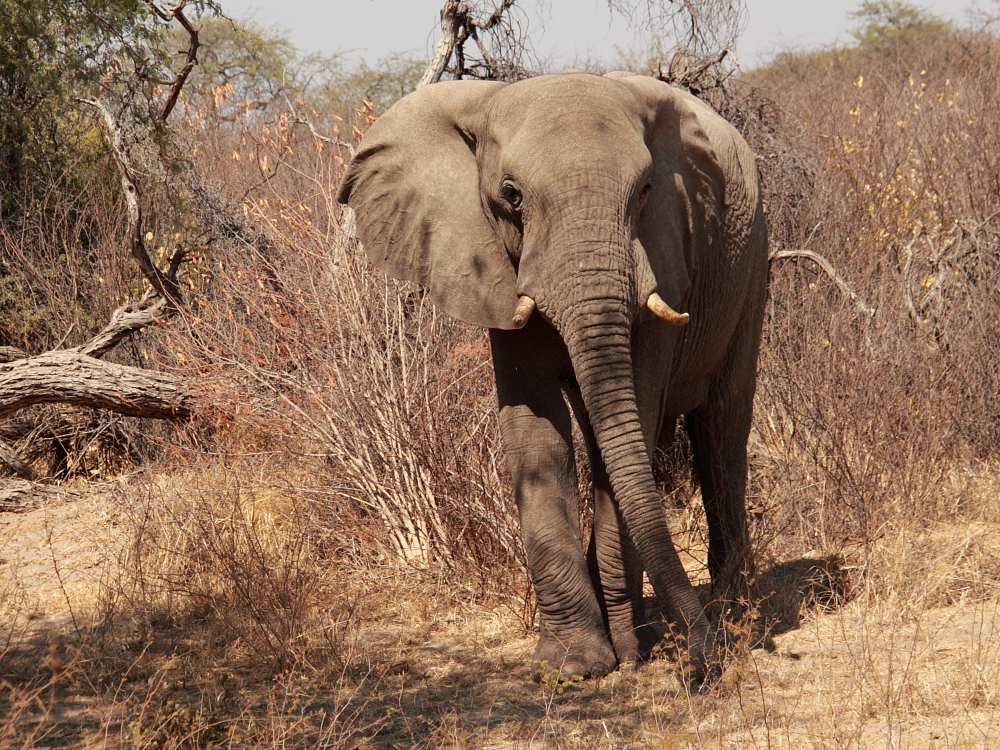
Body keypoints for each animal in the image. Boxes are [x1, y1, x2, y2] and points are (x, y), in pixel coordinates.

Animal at [336, 72, 764, 688]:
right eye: (511, 195)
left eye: (646, 190)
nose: (703, 666)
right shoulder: (492, 267)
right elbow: (535, 430)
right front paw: (573, 665)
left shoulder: (665, 258)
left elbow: (631, 421)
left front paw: (626, 654)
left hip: (751, 266)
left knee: (721, 427)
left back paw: (736, 610)